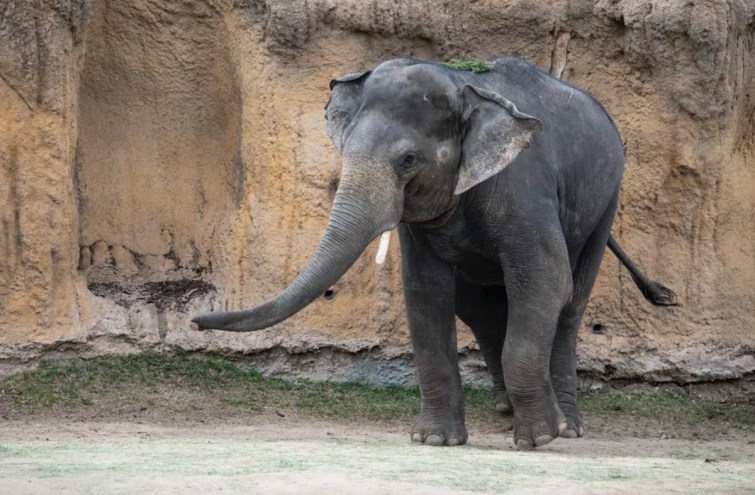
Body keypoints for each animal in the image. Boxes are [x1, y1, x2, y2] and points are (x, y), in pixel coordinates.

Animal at [192, 56, 676, 449]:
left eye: (408, 160)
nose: (196, 321)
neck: (465, 85)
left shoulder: (525, 189)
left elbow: (545, 281)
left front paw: (538, 438)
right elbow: (425, 294)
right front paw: (435, 440)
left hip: (606, 202)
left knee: (570, 303)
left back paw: (568, 427)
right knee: (479, 307)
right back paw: (505, 410)